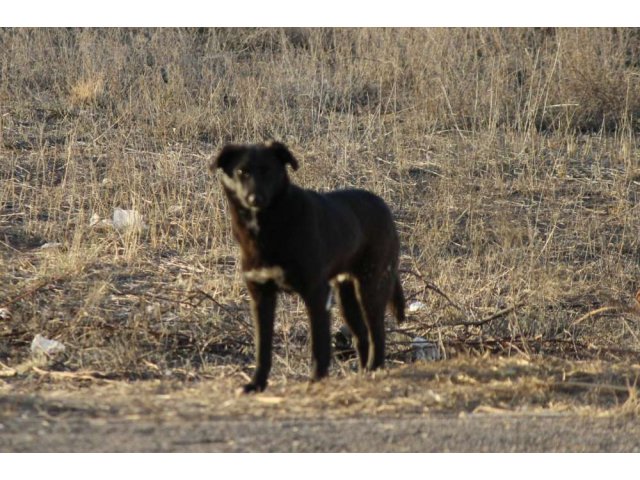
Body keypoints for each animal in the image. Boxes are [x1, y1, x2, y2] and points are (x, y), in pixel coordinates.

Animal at [211, 141, 404, 392]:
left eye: (267, 170)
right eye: (241, 171)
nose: (255, 198)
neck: (266, 228)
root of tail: (383, 205)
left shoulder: (316, 293)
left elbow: (319, 345)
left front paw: (316, 380)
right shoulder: (261, 295)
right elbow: (262, 348)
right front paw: (256, 384)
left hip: (370, 287)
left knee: (377, 334)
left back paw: (374, 370)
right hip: (346, 297)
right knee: (361, 336)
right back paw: (362, 374)